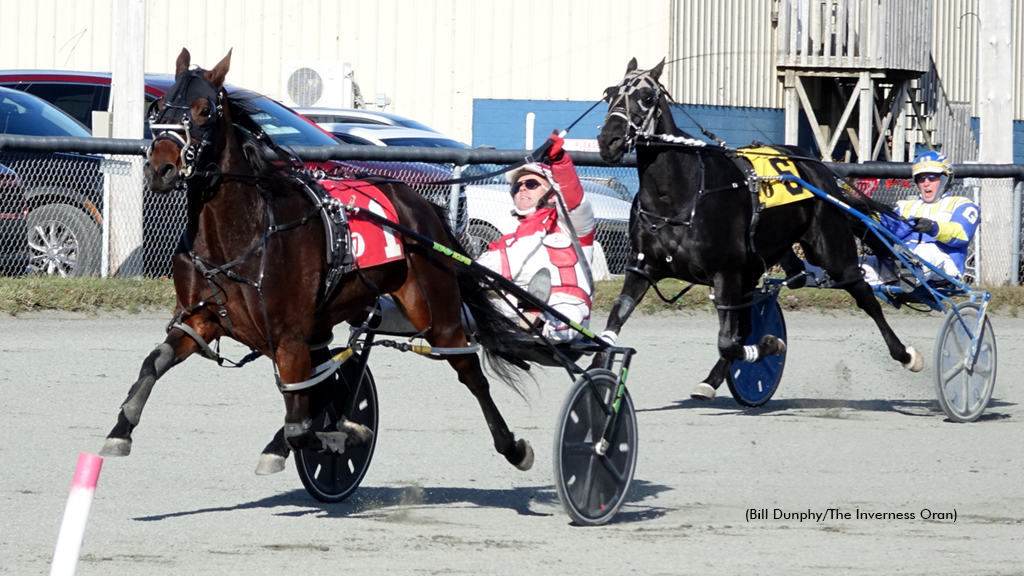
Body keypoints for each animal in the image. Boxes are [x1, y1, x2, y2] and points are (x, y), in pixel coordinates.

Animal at [97, 48, 536, 471]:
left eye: (204, 110)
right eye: (158, 109)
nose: (161, 168)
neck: (244, 235)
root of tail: (422, 206)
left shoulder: (289, 339)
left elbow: (300, 427)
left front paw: (344, 435)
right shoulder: (200, 320)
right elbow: (155, 362)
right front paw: (120, 430)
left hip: (437, 315)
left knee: (470, 372)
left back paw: (513, 446)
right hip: (331, 319)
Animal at [593, 58, 921, 399]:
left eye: (646, 97)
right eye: (609, 93)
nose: (609, 140)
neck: (678, 196)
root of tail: (818, 168)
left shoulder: (725, 272)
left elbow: (729, 341)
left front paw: (770, 344)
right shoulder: (642, 268)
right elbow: (615, 320)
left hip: (833, 253)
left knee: (864, 294)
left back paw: (905, 354)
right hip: (757, 266)